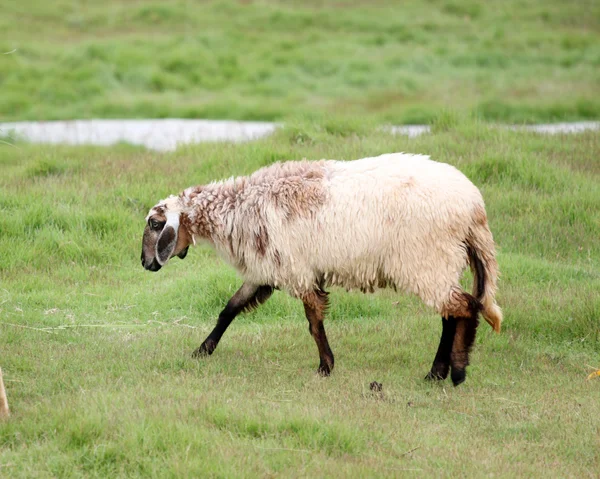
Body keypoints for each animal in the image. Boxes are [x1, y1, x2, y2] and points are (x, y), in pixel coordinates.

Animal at [141, 153, 502, 386]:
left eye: (156, 224)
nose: (145, 264)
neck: (238, 207)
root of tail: (474, 206)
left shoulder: (296, 269)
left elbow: (314, 323)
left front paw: (325, 366)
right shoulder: (266, 270)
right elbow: (229, 309)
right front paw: (203, 350)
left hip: (427, 259)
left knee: (464, 307)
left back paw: (456, 372)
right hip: (437, 263)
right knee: (452, 312)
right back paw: (437, 373)